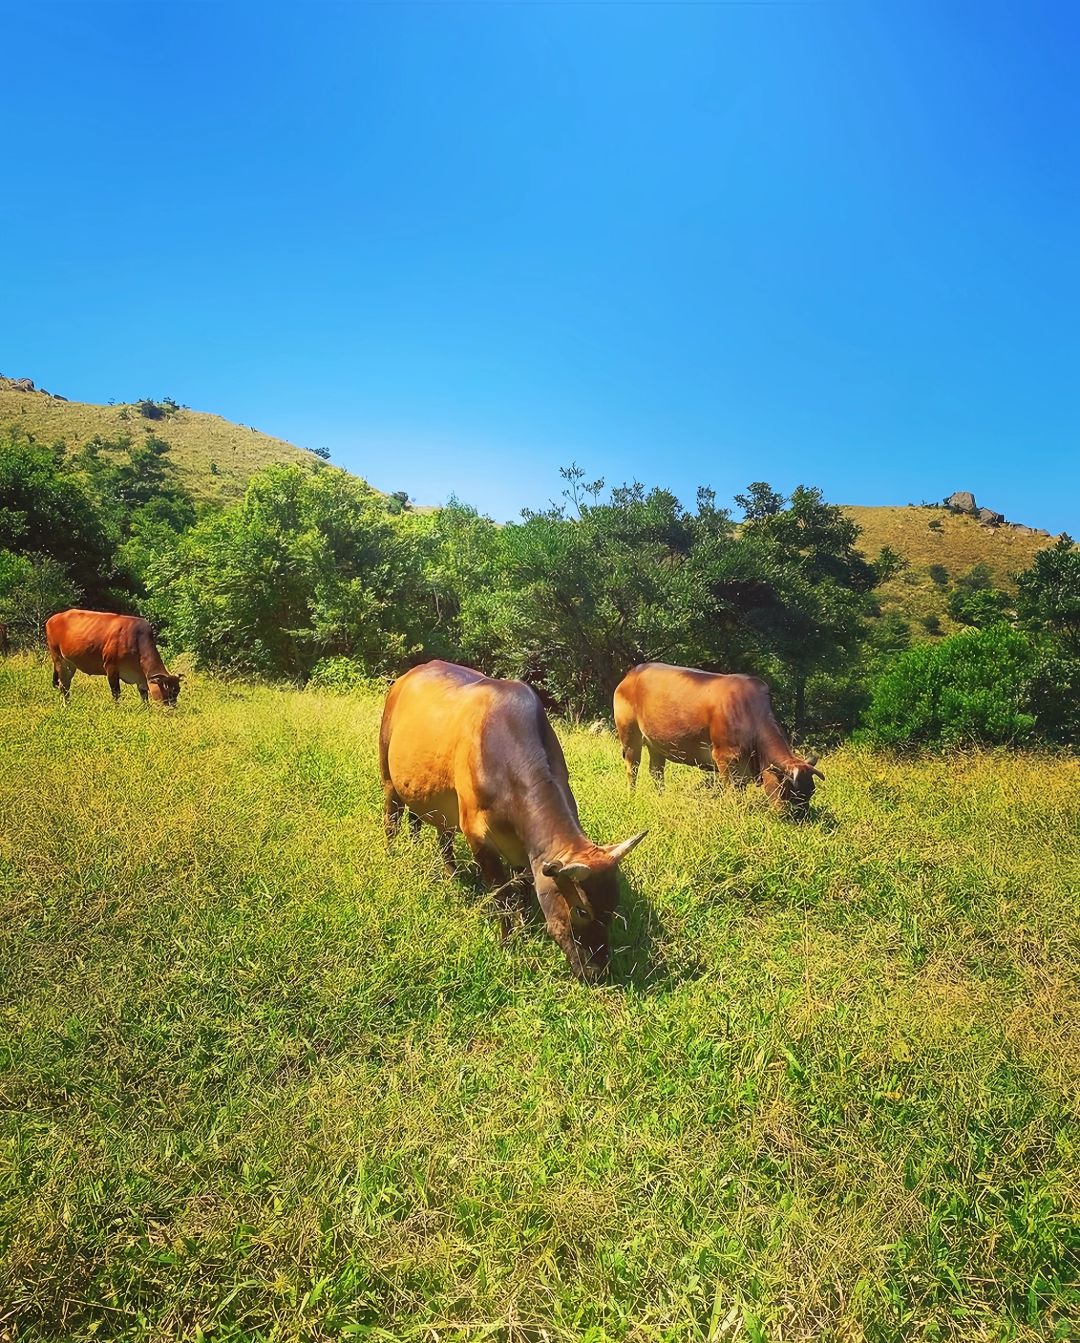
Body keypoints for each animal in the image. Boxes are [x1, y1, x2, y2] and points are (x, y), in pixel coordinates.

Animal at [46, 609, 184, 709]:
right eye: (168, 691)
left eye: (177, 691)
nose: (172, 708)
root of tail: (53, 618)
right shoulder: (111, 667)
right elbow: (116, 692)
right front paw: (117, 709)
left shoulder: (141, 678)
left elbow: (144, 695)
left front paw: (146, 709)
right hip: (58, 658)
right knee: (64, 686)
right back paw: (67, 706)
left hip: (70, 664)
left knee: (66, 684)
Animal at [381, 658, 644, 983]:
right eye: (582, 911)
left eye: (612, 906)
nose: (596, 972)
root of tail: (407, 675)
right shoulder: (478, 836)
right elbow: (502, 896)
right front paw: (507, 943)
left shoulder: (525, 850)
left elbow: (523, 892)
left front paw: (523, 926)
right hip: (387, 775)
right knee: (392, 818)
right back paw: (394, 855)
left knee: (436, 832)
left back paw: (447, 870)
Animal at [612, 658, 822, 811]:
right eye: (789, 791)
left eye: (811, 792)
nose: (801, 819)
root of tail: (633, 672)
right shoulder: (725, 758)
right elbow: (731, 793)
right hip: (630, 736)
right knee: (632, 768)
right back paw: (632, 796)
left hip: (656, 742)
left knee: (656, 771)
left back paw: (661, 797)